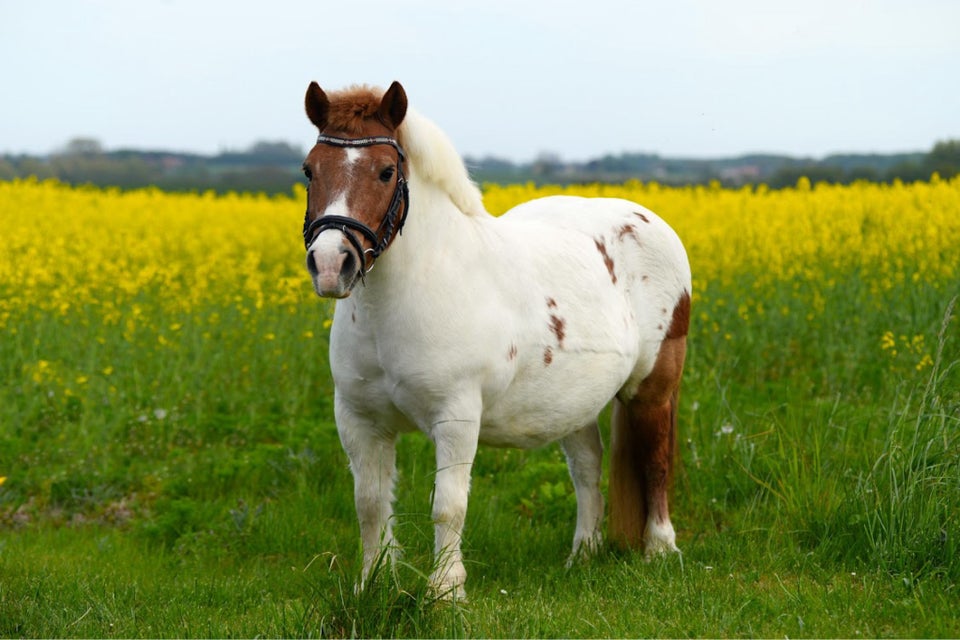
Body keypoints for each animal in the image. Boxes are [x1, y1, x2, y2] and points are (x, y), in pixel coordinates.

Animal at [300, 81, 688, 600]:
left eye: (386, 172)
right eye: (309, 169)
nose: (329, 264)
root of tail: (648, 219)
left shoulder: (457, 416)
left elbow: (448, 505)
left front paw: (445, 591)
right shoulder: (358, 419)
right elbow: (370, 502)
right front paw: (373, 584)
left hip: (654, 388)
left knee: (656, 458)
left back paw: (660, 549)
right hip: (575, 402)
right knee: (587, 468)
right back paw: (582, 556)